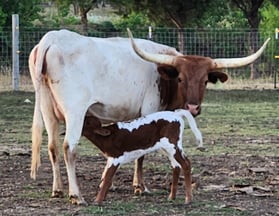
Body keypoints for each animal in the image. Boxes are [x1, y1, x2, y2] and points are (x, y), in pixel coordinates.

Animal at [29, 28, 272, 204]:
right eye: (181, 78)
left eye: (205, 81)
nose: (193, 107)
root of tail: (51, 38)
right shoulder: (148, 110)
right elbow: (142, 153)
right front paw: (140, 186)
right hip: (75, 111)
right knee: (69, 148)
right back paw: (76, 195)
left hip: (48, 110)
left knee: (52, 146)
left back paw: (58, 190)